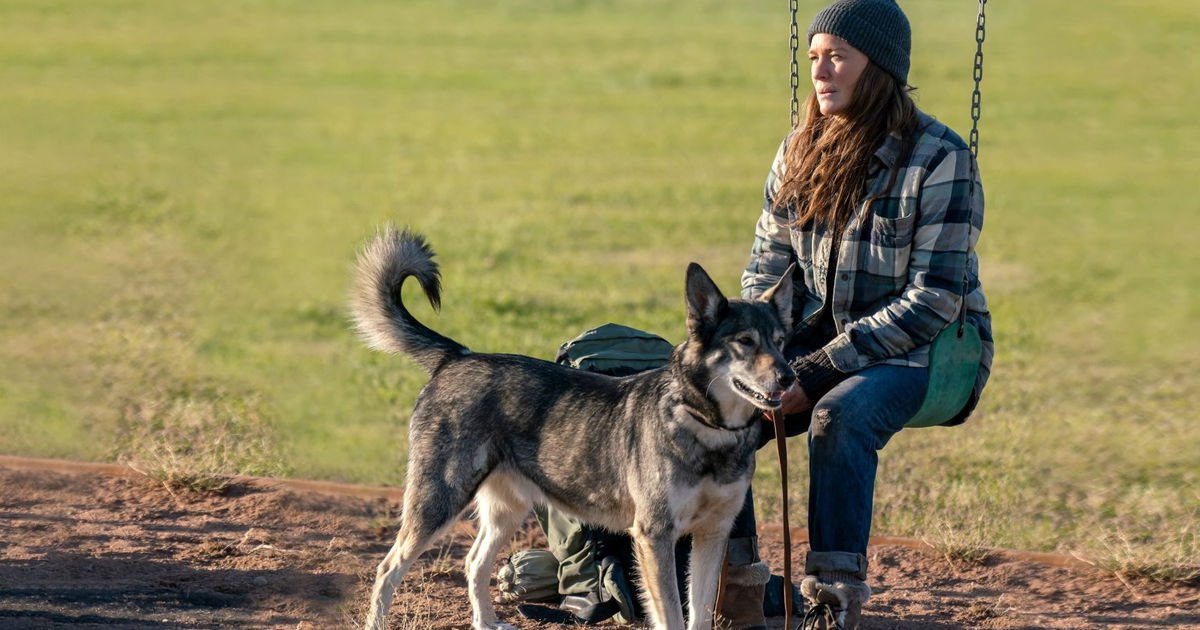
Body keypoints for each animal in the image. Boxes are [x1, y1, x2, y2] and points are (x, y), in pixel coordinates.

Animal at [350, 226, 796, 628]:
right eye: (744, 341)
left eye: (779, 340)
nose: (789, 376)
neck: (706, 428)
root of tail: (458, 356)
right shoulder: (655, 536)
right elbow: (670, 614)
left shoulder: (711, 536)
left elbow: (699, 614)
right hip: (438, 501)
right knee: (388, 569)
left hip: (507, 509)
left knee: (474, 562)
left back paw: (486, 622)